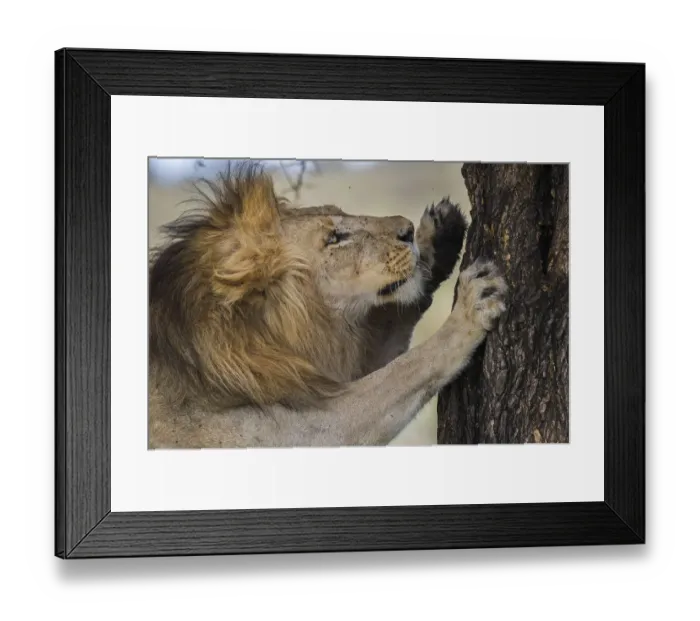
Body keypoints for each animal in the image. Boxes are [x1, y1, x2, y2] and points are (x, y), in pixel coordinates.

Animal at [148, 163, 507, 448]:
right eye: (334, 239)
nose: (407, 230)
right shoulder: (302, 431)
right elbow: (407, 369)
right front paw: (473, 306)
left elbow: (391, 327)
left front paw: (439, 235)